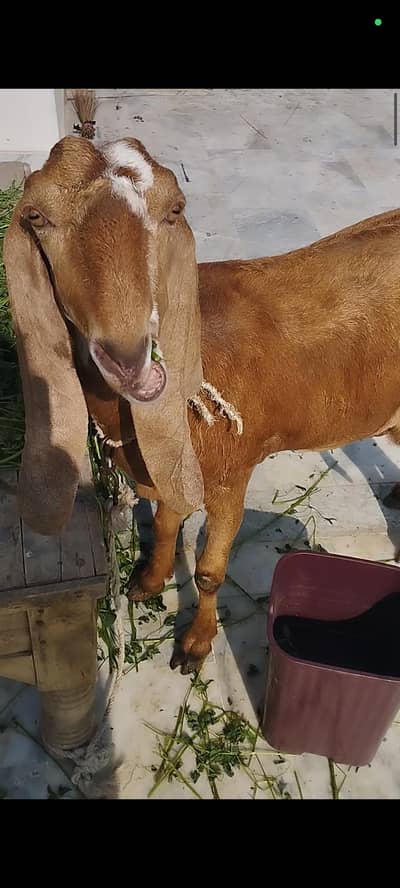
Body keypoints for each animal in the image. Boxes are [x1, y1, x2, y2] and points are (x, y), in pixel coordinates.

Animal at [5, 136, 400, 676]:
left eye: (174, 209)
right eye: (37, 216)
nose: (128, 356)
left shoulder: (232, 472)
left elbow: (211, 570)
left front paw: (194, 644)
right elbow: (166, 519)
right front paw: (149, 581)